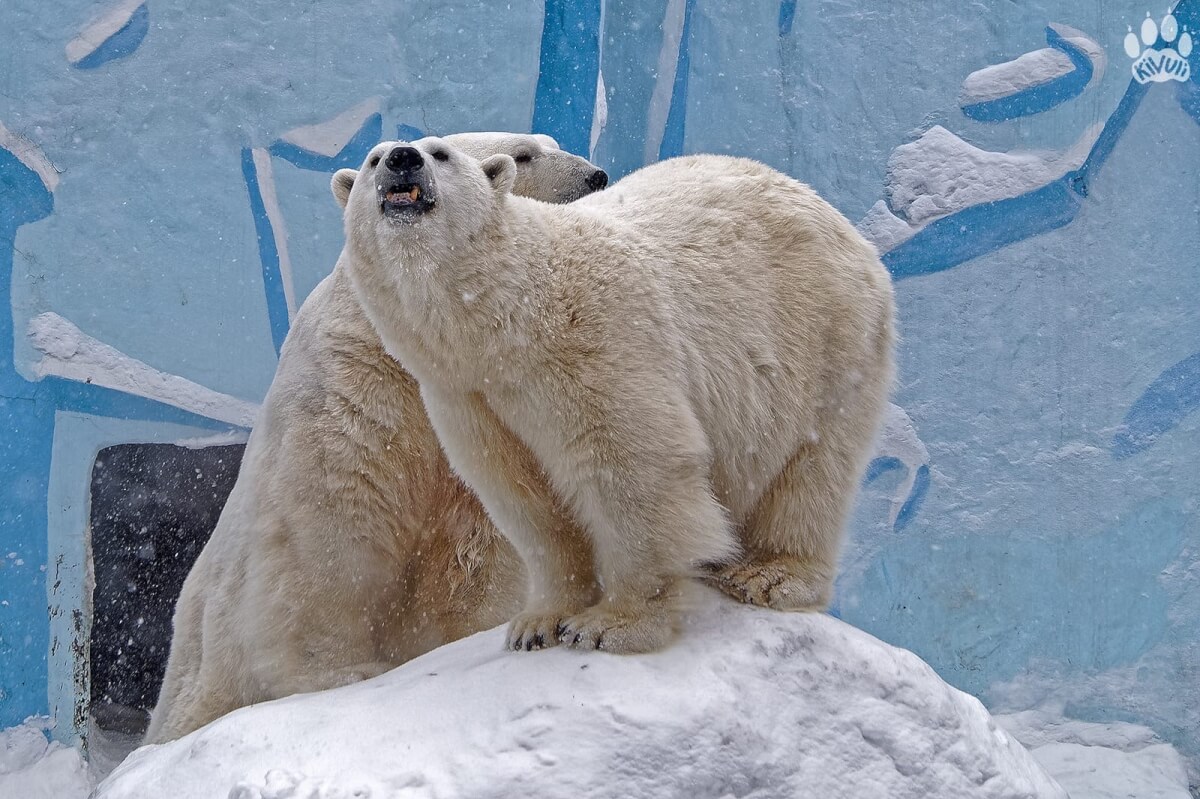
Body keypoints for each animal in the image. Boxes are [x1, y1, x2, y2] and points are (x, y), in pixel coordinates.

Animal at [142, 131, 609, 739]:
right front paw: (344, 673)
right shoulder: (350, 385)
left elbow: (479, 550)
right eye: (525, 153)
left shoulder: (476, 408)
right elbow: (330, 523)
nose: (596, 177)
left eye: (552, 145)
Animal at [343, 136, 897, 652]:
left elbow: (633, 465)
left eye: (440, 154)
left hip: (827, 338)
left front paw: (613, 624)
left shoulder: (595, 339)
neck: (508, 319)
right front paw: (538, 623)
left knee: (812, 466)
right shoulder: (467, 395)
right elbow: (526, 497)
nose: (402, 158)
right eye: (372, 159)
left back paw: (770, 574)